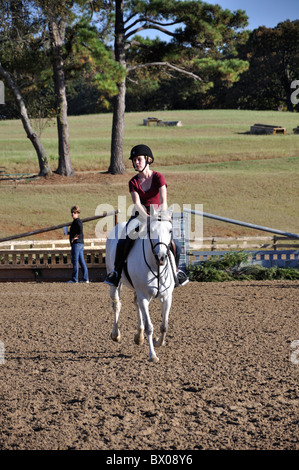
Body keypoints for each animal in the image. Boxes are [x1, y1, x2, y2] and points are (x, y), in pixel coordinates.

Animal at [105, 209, 176, 364]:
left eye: (170, 230)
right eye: (151, 231)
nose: (161, 258)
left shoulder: (167, 297)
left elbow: (164, 326)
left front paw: (157, 342)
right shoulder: (144, 297)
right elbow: (150, 327)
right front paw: (152, 355)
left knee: (135, 304)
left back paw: (139, 336)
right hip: (115, 283)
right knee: (116, 304)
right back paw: (116, 334)